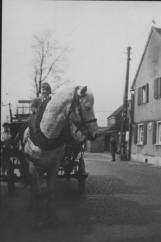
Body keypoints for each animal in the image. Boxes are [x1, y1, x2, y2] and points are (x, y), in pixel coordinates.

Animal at [21, 82, 97, 228]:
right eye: (87, 107)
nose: (95, 133)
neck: (47, 134)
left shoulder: (54, 166)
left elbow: (50, 191)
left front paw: (51, 218)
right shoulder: (35, 166)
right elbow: (38, 191)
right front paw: (38, 219)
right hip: (30, 166)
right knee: (32, 184)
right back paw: (31, 205)